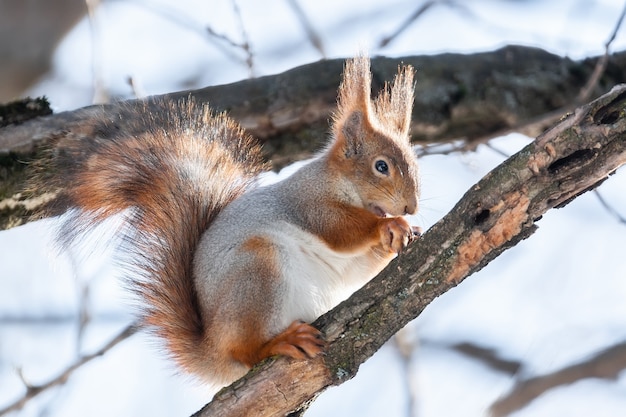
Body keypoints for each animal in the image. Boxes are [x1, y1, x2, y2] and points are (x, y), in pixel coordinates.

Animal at [37, 56, 420, 386]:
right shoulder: (307, 201)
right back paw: (278, 343)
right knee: (246, 352)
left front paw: (402, 235)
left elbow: (359, 267)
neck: (342, 184)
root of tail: (214, 348)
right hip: (256, 271)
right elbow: (339, 229)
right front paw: (389, 226)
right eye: (381, 166)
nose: (411, 206)